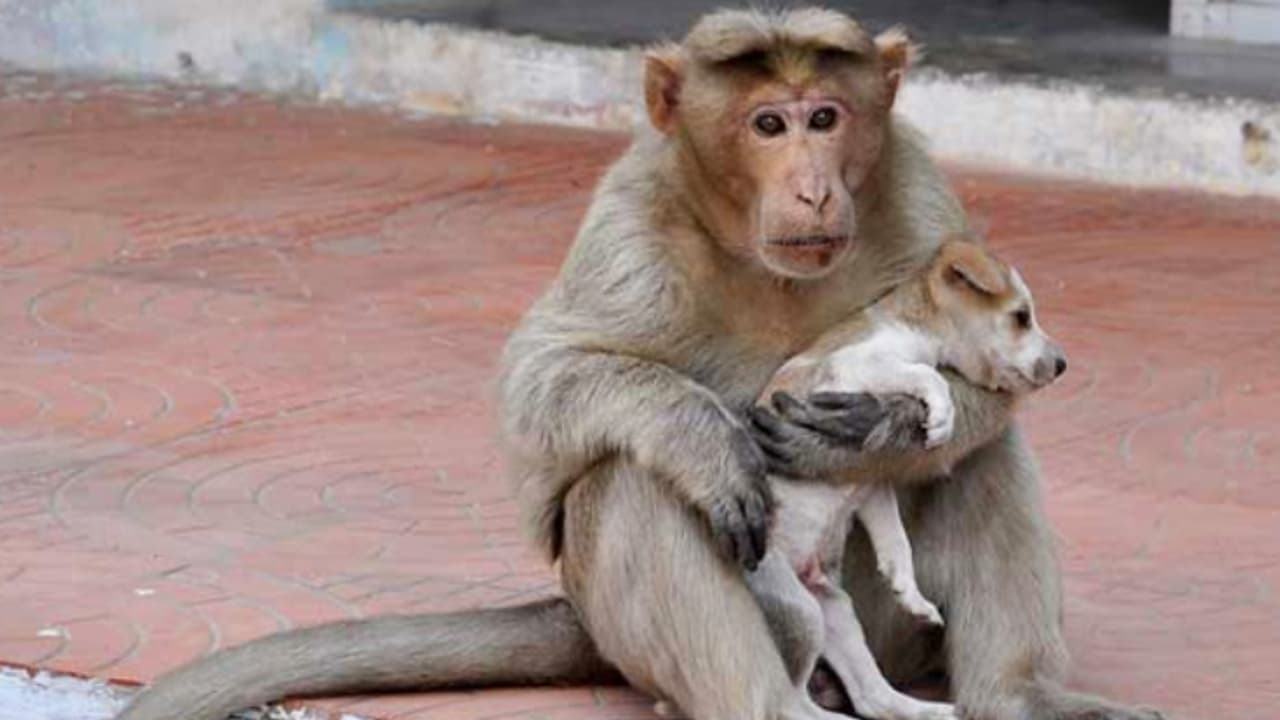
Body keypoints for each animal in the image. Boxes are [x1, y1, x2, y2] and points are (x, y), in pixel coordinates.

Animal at [113, 8, 1163, 720]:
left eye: (826, 116)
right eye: (768, 126)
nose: (813, 189)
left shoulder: (921, 190)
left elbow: (975, 413)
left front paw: (887, 430)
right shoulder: (631, 220)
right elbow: (545, 388)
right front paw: (713, 436)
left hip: (864, 618)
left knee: (978, 467)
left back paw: (1009, 695)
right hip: (678, 618)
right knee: (633, 482)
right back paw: (764, 693)